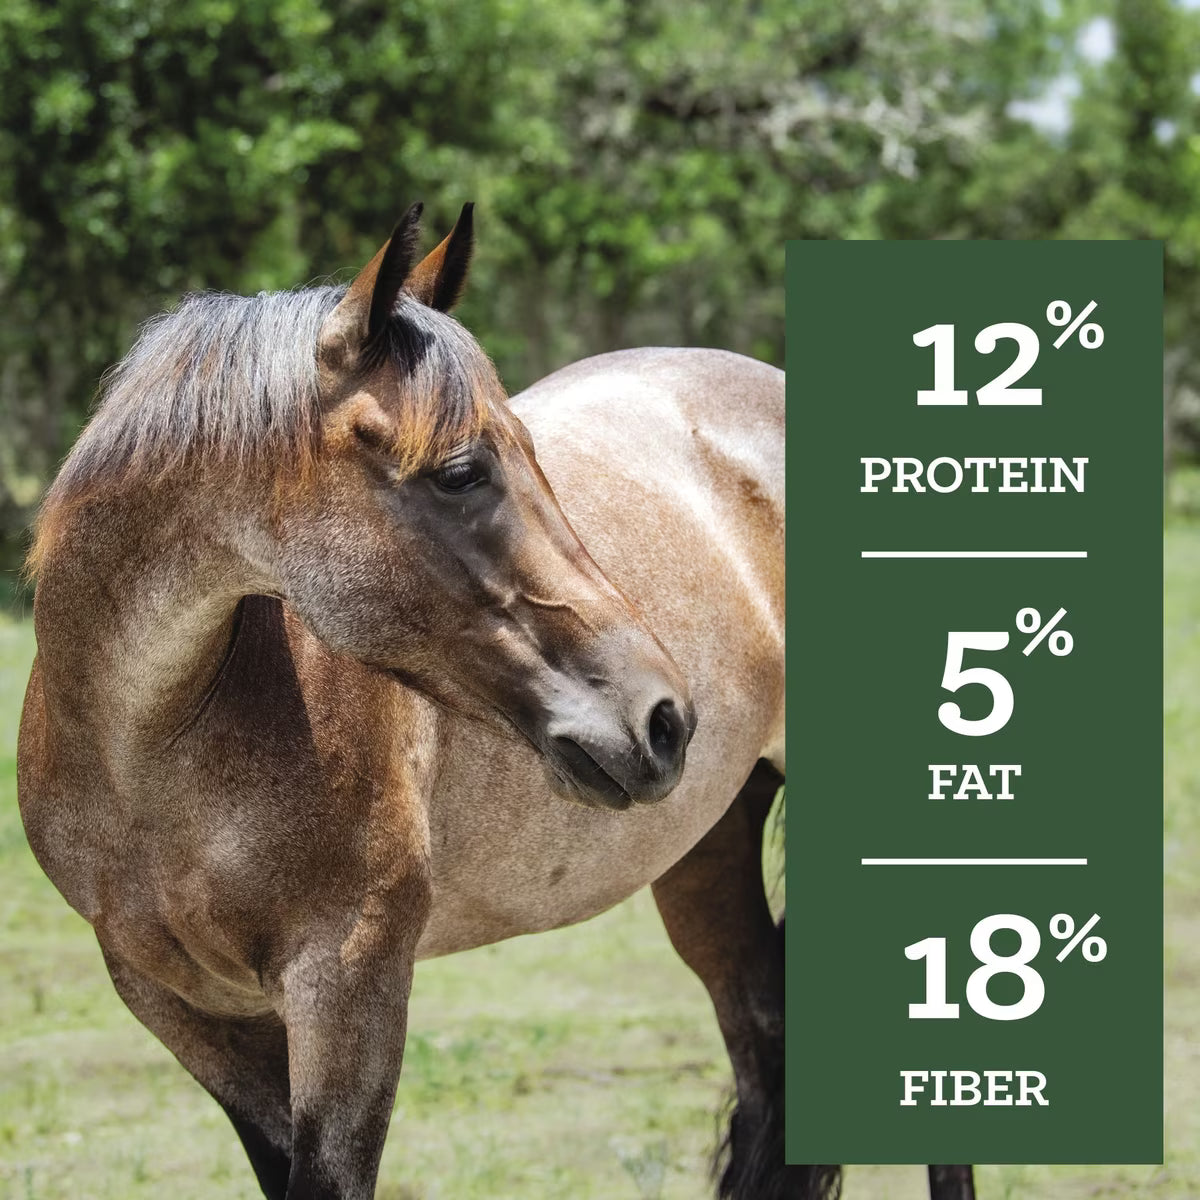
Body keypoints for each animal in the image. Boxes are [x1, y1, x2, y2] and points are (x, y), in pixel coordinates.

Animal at [17, 201, 816, 1198]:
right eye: (462, 470)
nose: (665, 719)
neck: (147, 760)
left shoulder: (348, 988)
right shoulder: (190, 1013)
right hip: (708, 855)